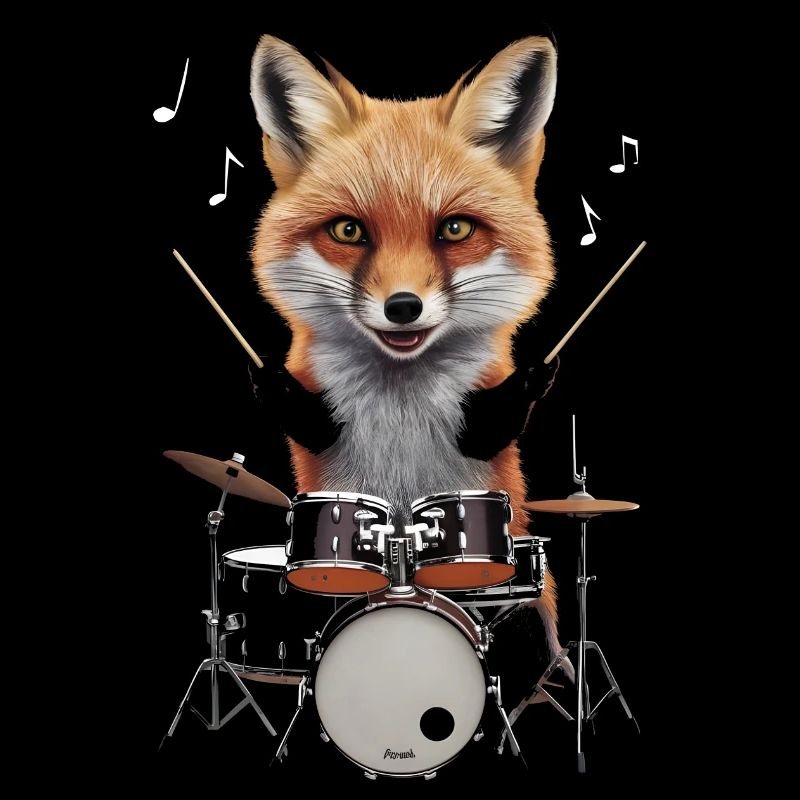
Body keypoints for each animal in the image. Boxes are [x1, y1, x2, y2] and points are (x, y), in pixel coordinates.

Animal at [248, 34, 571, 677]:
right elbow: (306, 419)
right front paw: (269, 382)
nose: (403, 307)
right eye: (348, 231)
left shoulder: (479, 423)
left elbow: (492, 426)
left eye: (455, 229)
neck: (400, 397)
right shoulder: (322, 425)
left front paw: (534, 379)